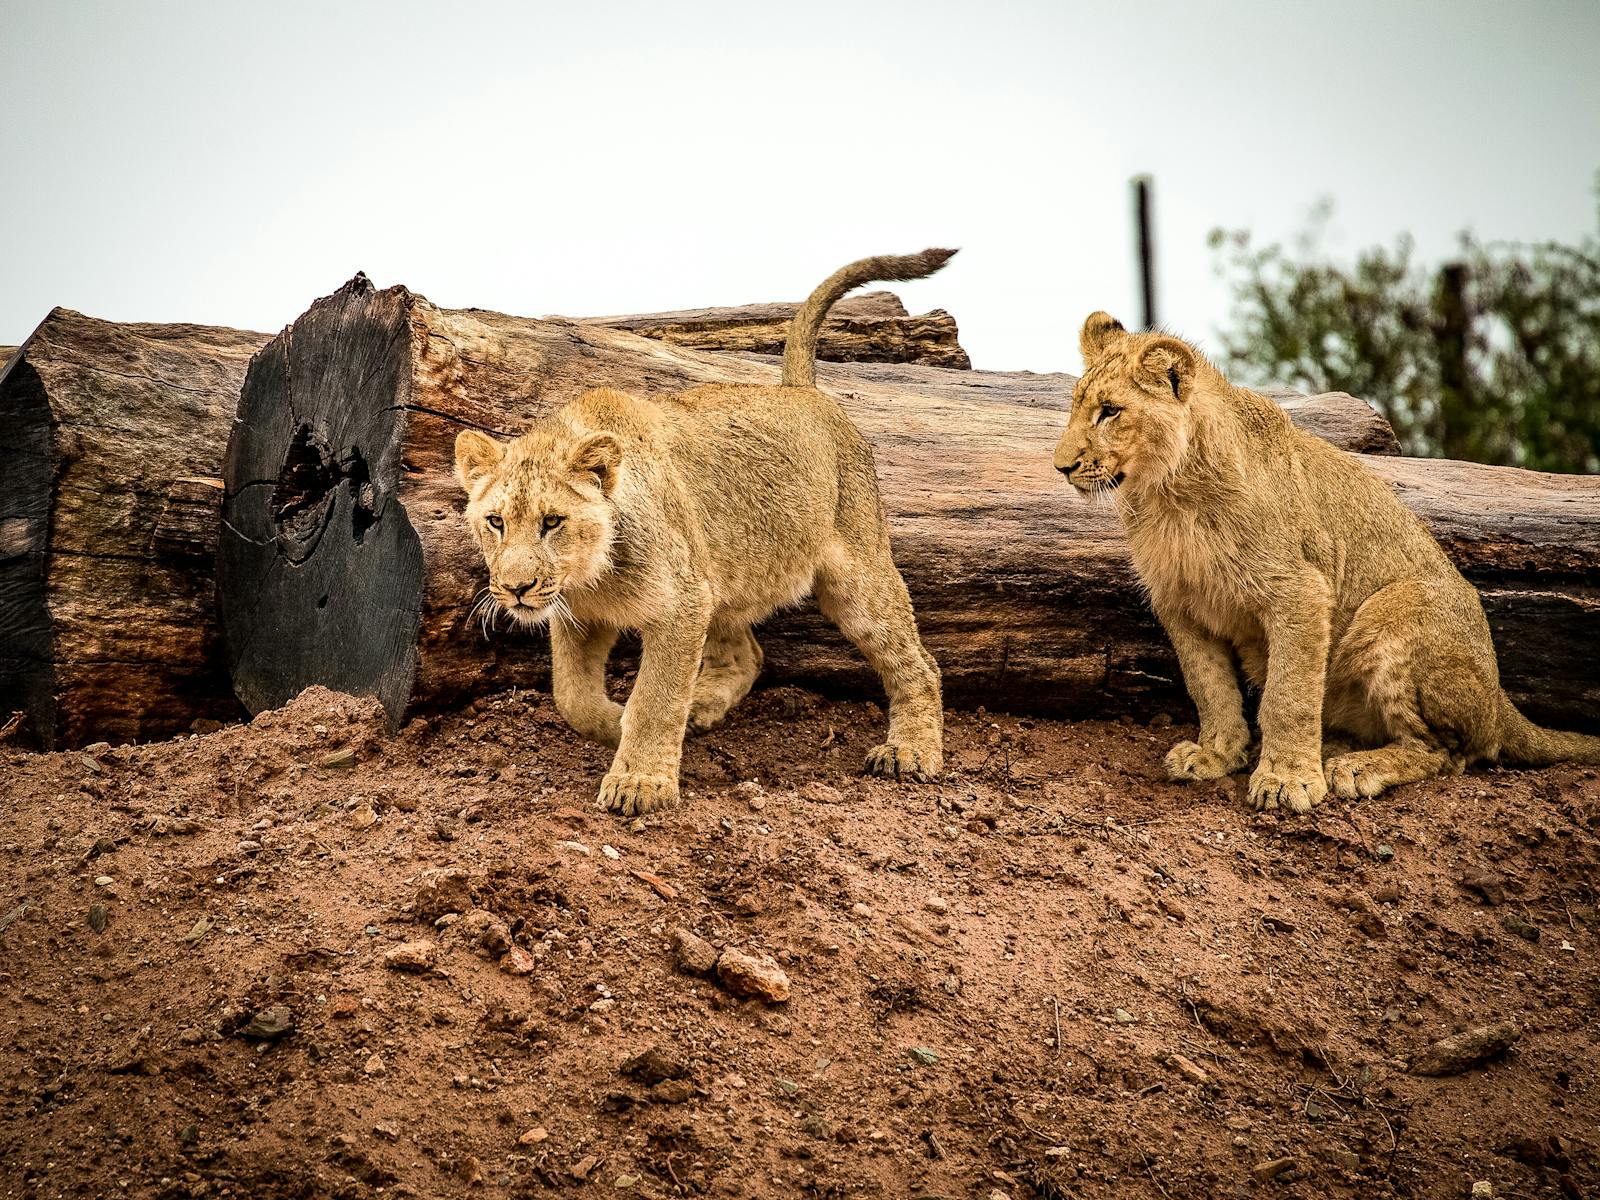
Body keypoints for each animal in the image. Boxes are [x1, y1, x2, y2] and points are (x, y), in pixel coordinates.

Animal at [453, 251, 949, 815]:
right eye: (496, 522)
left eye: (552, 522)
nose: (516, 589)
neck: (592, 576)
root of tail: (800, 391)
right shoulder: (583, 615)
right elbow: (571, 697)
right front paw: (613, 724)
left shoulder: (681, 603)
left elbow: (655, 698)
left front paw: (639, 781)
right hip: (720, 576)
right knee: (748, 657)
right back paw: (701, 708)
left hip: (855, 574)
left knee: (918, 663)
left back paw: (910, 751)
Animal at [1053, 312, 1600, 812]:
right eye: (1078, 407)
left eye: (1110, 411)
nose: (1060, 466)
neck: (1167, 496)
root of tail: (1500, 698)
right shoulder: (1181, 604)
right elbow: (1209, 687)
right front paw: (1217, 755)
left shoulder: (1300, 592)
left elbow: (1287, 695)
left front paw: (1287, 779)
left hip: (1399, 610)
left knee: (1448, 752)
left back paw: (1354, 767)